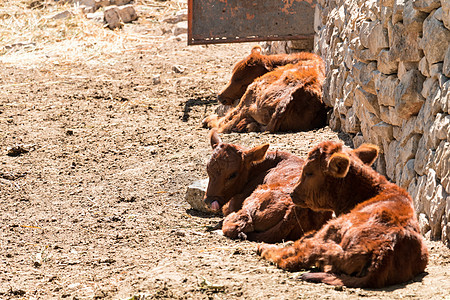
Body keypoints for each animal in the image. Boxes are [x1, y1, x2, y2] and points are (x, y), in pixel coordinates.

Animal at [256, 142, 428, 288]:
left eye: (309, 172)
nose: (292, 193)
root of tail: (385, 248)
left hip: (330, 231)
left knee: (296, 256)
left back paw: (265, 248)